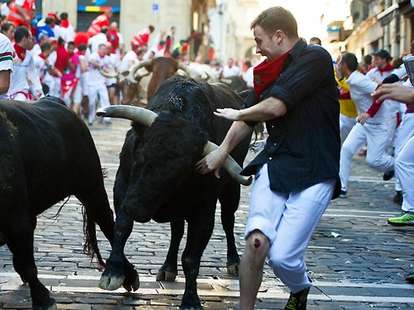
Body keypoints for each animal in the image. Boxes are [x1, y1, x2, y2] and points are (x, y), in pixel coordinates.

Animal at [0, 97, 138, 310]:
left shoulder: (17, 218)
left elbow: (28, 264)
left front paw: (43, 299)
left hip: (91, 185)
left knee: (107, 222)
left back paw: (127, 275)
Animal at [98, 76, 251, 308]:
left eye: (179, 173)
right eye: (141, 155)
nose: (135, 208)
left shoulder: (204, 212)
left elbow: (191, 258)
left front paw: (191, 299)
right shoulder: (122, 188)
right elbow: (121, 228)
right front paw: (113, 273)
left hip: (231, 190)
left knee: (227, 221)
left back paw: (233, 261)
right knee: (176, 231)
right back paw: (168, 268)